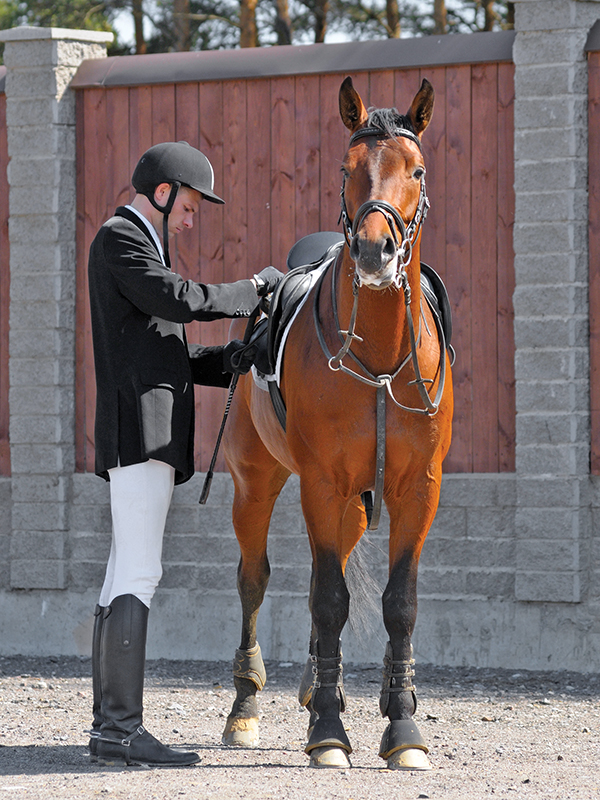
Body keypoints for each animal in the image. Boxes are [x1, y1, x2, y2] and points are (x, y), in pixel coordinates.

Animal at [220, 76, 453, 770]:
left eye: (417, 170)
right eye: (347, 170)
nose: (375, 250)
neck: (377, 360)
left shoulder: (418, 490)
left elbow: (398, 604)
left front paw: (402, 727)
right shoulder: (319, 483)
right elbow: (326, 599)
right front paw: (328, 729)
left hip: (351, 500)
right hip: (255, 484)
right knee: (254, 580)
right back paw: (246, 705)